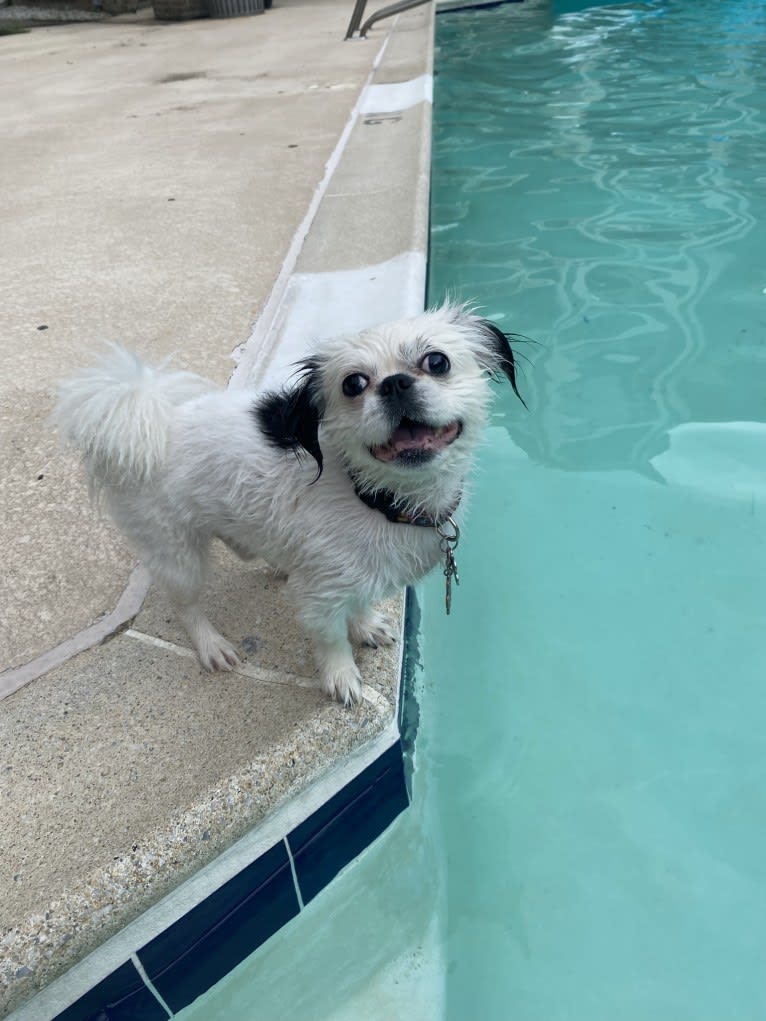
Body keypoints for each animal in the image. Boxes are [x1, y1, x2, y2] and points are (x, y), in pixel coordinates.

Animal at [56, 298, 527, 706]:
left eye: (437, 362)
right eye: (353, 384)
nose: (395, 383)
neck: (378, 498)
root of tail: (151, 416)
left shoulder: (355, 575)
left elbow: (360, 602)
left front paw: (366, 626)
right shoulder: (321, 594)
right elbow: (332, 637)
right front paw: (341, 677)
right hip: (176, 552)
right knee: (185, 604)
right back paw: (211, 645)